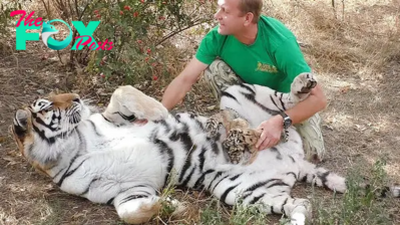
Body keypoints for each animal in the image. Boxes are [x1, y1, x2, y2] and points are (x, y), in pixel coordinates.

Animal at [12, 73, 400, 224]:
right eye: (48, 104)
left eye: (58, 98)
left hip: (239, 94)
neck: (75, 146)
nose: (77, 97)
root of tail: (296, 160)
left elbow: (124, 94)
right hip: (244, 193)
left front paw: (161, 113)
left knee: (284, 107)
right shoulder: (124, 191)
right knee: (300, 204)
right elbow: (130, 212)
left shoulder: (114, 119)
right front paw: (173, 206)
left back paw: (301, 85)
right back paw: (295, 218)